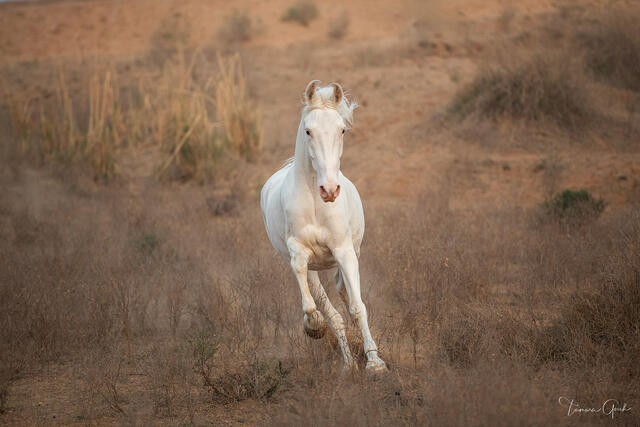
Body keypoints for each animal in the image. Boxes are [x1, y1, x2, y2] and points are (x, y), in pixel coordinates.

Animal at [260, 80, 386, 372]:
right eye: (308, 130)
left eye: (342, 130)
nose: (329, 190)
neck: (316, 204)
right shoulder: (298, 252)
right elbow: (316, 308)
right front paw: (314, 327)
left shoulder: (344, 250)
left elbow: (358, 307)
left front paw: (375, 363)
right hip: (315, 268)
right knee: (332, 310)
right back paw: (348, 365)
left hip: (350, 253)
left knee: (343, 291)